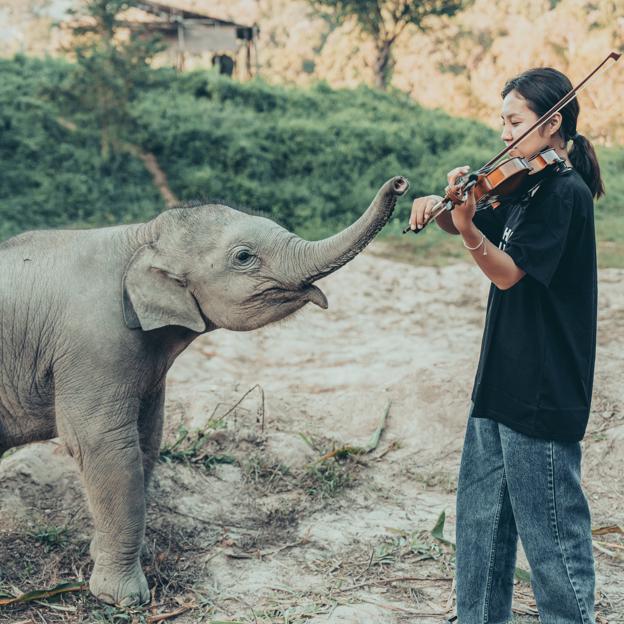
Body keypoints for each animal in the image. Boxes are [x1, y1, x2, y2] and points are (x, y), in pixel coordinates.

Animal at [0, 176, 410, 604]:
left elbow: (148, 434)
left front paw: (103, 555)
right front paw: (125, 598)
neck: (140, 236)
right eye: (244, 257)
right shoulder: (92, 347)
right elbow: (103, 443)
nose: (399, 183)